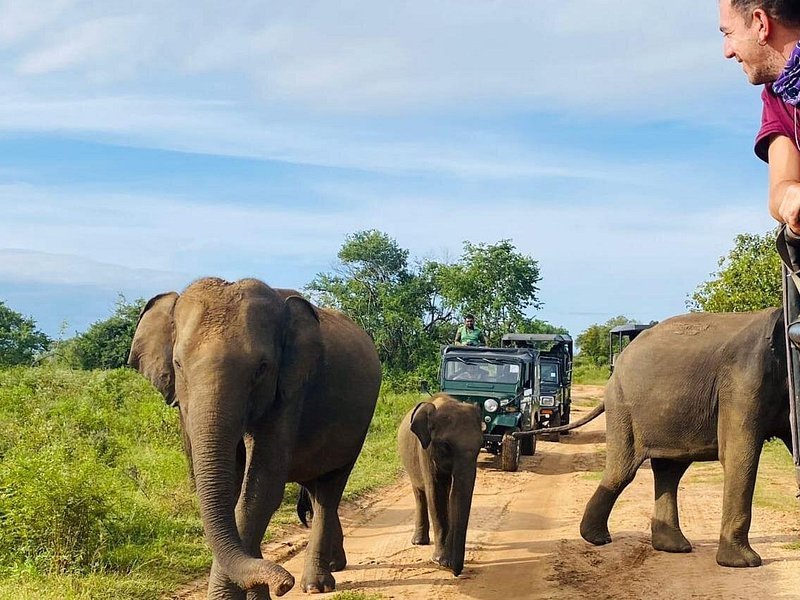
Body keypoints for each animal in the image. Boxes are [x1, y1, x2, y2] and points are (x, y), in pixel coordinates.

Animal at [128, 277, 381, 598]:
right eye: (178, 364)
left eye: (261, 368)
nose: (284, 584)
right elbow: (231, 487)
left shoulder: (289, 392)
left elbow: (260, 490)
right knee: (315, 489)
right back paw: (334, 565)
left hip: (357, 428)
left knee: (328, 491)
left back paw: (317, 584)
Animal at [397, 393, 483, 576]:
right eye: (445, 445)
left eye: (480, 445)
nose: (455, 571)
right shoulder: (425, 450)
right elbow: (435, 494)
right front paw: (440, 561)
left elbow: (452, 495)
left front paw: (445, 560)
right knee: (420, 493)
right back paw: (419, 542)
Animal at [518, 308, 792, 568]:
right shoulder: (744, 381)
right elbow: (738, 454)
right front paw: (744, 564)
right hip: (623, 408)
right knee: (623, 471)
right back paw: (599, 539)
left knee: (670, 469)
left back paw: (671, 547)